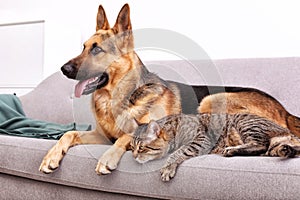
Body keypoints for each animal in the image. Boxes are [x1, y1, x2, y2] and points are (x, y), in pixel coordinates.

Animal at [39, 3, 300, 174]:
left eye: (97, 49)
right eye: (83, 47)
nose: (63, 69)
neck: (117, 97)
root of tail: (285, 111)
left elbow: (125, 137)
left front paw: (108, 158)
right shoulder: (101, 137)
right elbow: (69, 134)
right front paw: (51, 156)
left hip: (212, 99)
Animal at [131, 114, 300, 181]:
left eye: (141, 148)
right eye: (131, 147)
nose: (133, 156)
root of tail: (288, 132)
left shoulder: (200, 139)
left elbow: (179, 152)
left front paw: (167, 168)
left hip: (246, 124)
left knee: (260, 144)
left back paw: (231, 149)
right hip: (273, 147)